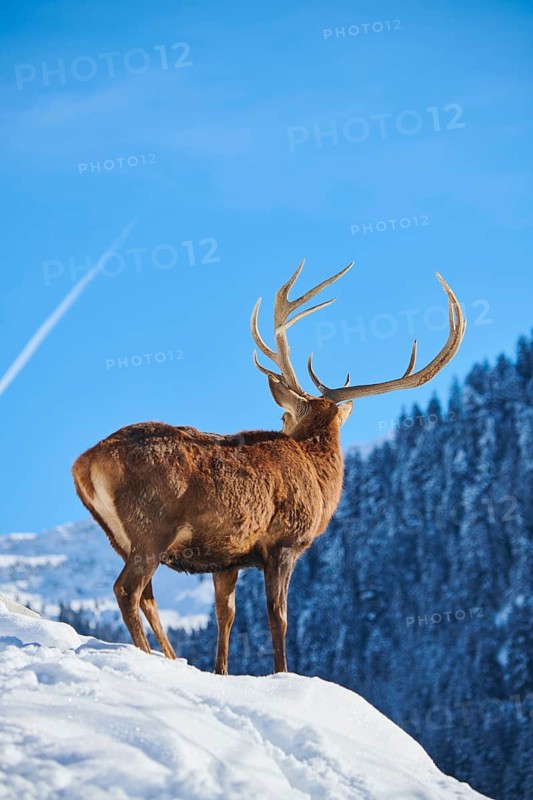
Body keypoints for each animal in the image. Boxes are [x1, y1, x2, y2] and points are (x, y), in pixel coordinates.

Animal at [72, 261, 466, 674]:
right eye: (283, 415)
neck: (320, 480)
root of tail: (85, 463)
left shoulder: (226, 557)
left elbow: (225, 614)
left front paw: (221, 671)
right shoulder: (284, 542)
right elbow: (279, 616)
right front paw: (282, 672)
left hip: (120, 536)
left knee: (146, 596)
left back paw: (169, 656)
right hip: (151, 525)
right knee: (127, 590)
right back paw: (148, 656)